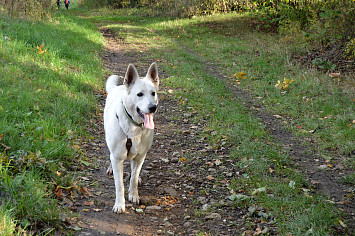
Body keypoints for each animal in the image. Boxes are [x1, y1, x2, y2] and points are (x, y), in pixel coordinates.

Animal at [104, 63, 160, 214]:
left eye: (153, 93)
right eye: (139, 94)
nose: (153, 107)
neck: (134, 128)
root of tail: (118, 87)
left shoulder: (140, 156)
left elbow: (133, 177)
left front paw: (134, 194)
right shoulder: (117, 157)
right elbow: (119, 185)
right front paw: (119, 204)